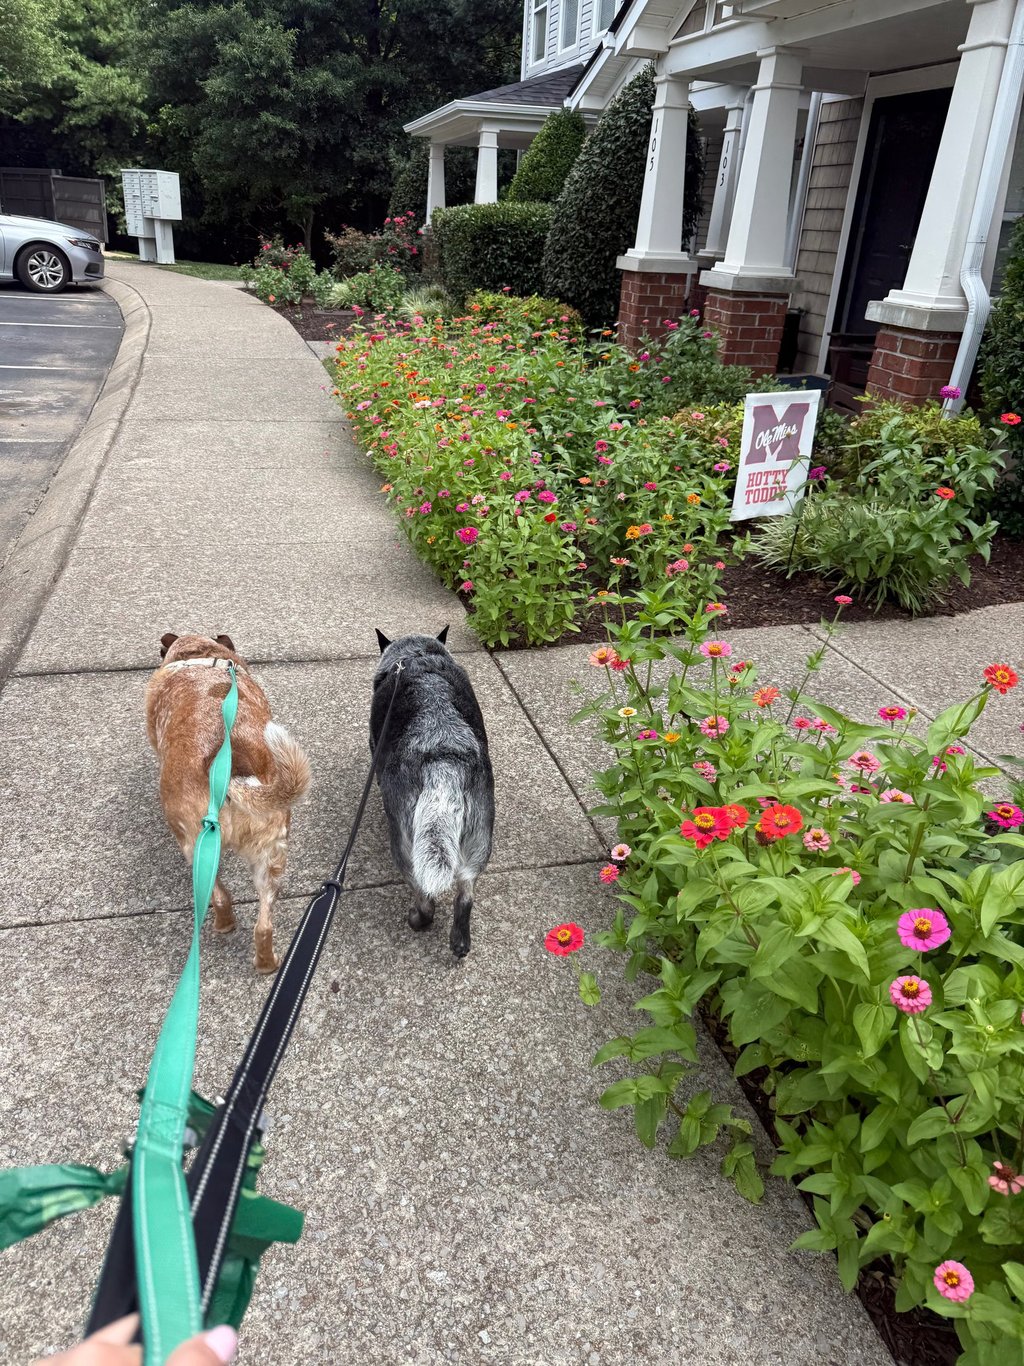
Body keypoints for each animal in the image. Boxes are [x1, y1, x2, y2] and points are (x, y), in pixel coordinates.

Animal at [145, 632, 310, 973]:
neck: (199, 655)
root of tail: (231, 766)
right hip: (272, 852)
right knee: (264, 924)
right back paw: (267, 963)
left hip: (195, 847)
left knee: (219, 897)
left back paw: (223, 925)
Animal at [370, 626, 494, 957]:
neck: (417, 655)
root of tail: (442, 759)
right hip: (479, 838)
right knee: (466, 891)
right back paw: (460, 941)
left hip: (406, 845)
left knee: (425, 896)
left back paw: (418, 919)